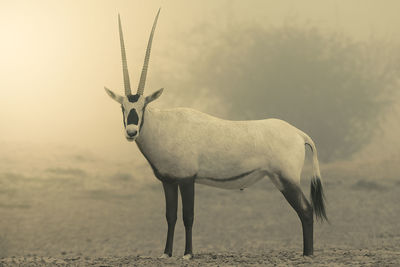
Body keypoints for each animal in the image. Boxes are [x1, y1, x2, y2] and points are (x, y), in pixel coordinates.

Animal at [104, 9, 326, 258]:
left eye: (143, 106)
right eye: (122, 107)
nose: (131, 132)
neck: (163, 125)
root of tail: (299, 134)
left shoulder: (187, 179)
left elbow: (188, 217)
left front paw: (188, 254)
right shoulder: (168, 181)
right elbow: (170, 216)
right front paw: (166, 253)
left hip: (287, 179)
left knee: (306, 210)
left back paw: (308, 254)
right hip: (278, 178)